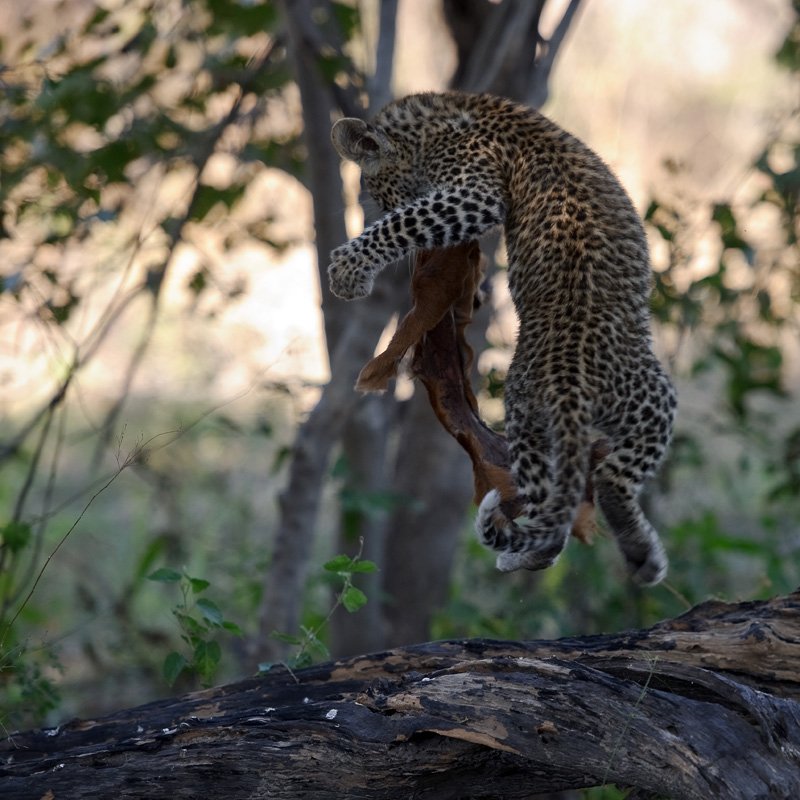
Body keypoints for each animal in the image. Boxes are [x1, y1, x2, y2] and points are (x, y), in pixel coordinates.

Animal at [328, 90, 680, 584]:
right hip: (608, 409)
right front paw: (352, 268)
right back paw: (622, 555)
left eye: (379, 194)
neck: (444, 117)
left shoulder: (473, 188)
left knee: (581, 490)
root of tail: (567, 383)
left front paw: (348, 268)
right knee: (593, 486)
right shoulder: (474, 190)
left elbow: (403, 221)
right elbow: (407, 221)